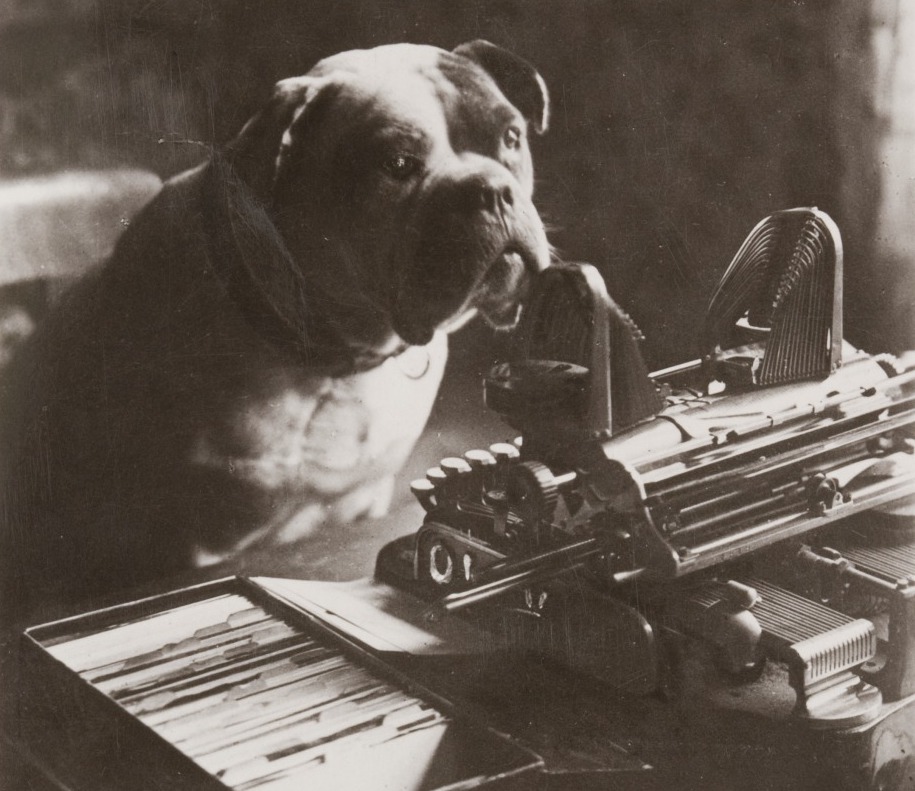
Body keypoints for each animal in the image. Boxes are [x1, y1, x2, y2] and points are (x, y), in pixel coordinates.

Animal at [0, 41, 552, 612]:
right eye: (397, 164)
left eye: (511, 138)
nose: (491, 190)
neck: (332, 359)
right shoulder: (190, 541)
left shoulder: (366, 496)